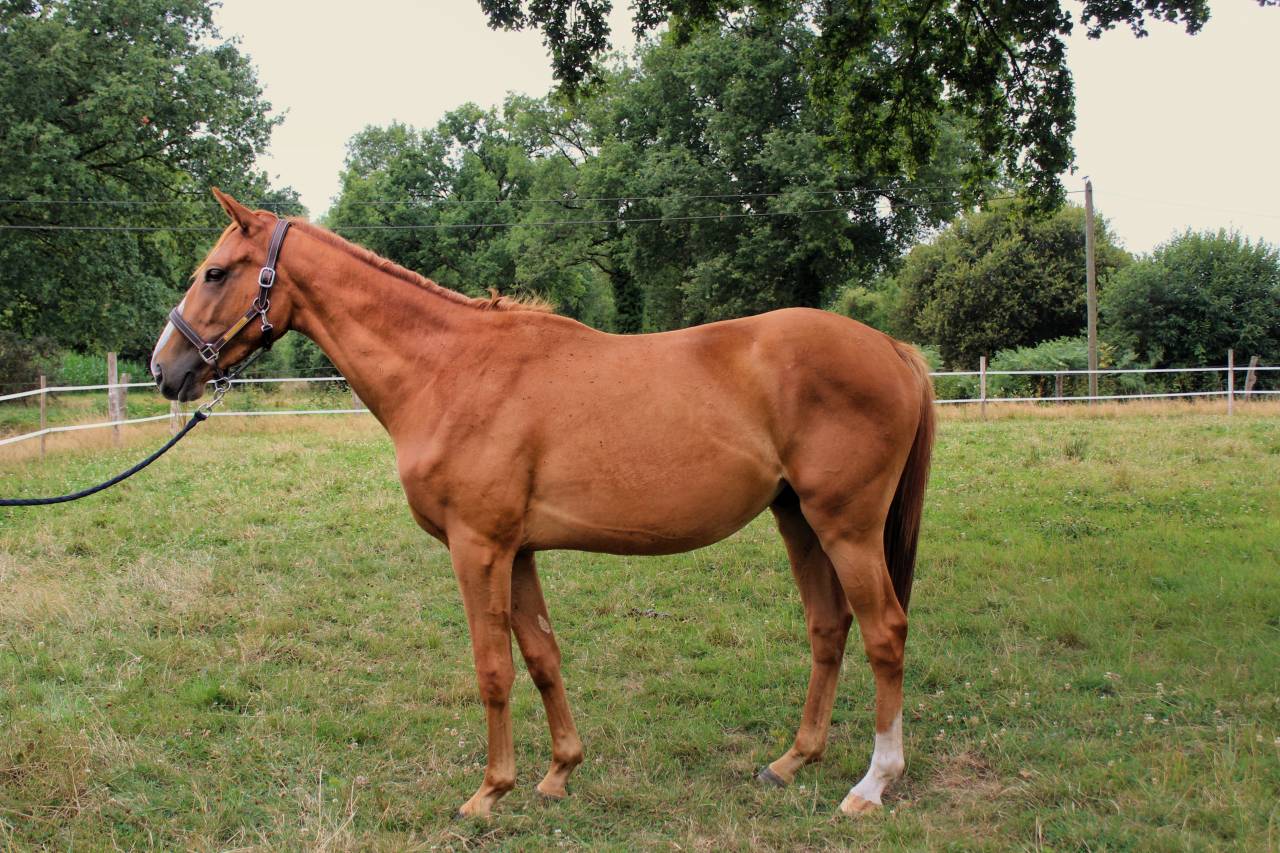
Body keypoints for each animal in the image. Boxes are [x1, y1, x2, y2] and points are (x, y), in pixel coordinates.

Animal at [150, 189, 935, 819]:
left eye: (215, 272)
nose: (165, 368)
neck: (451, 370)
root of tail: (893, 347)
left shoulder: (478, 548)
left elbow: (492, 668)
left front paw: (488, 792)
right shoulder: (518, 549)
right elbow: (541, 656)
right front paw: (559, 773)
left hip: (847, 526)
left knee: (885, 632)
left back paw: (873, 783)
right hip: (798, 519)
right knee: (829, 628)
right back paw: (791, 760)